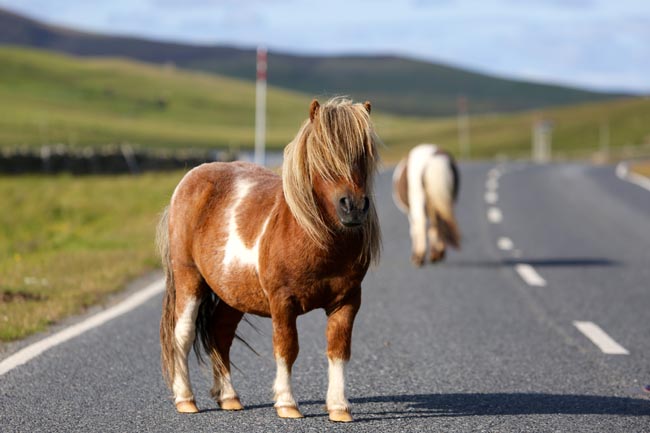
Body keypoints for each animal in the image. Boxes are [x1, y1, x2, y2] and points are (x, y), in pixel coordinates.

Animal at [157, 97, 380, 422]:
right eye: (321, 153)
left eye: (364, 152)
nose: (352, 207)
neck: (313, 238)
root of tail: (190, 179)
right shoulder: (283, 302)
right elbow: (287, 348)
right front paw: (287, 404)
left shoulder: (347, 301)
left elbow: (338, 350)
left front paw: (339, 407)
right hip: (190, 279)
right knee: (182, 335)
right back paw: (186, 399)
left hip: (232, 296)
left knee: (220, 334)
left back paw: (229, 398)